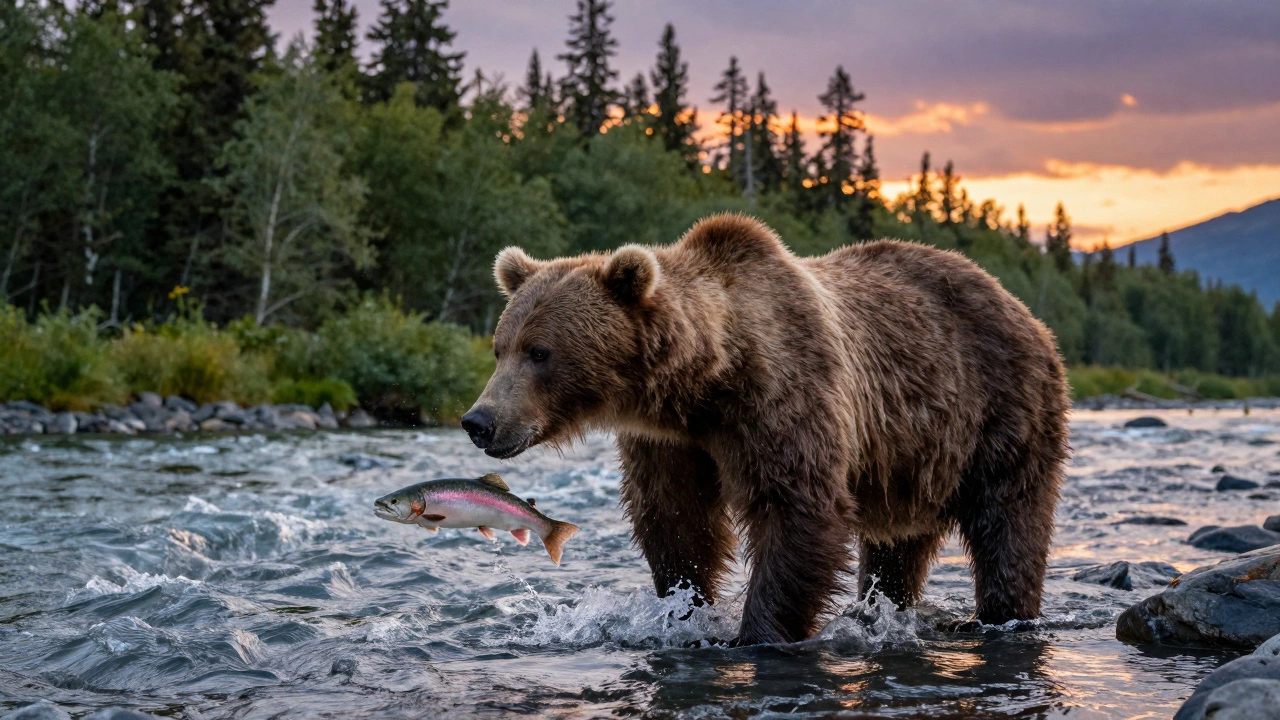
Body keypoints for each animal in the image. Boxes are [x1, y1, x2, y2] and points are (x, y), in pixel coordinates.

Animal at [461, 214, 1069, 645]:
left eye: (540, 351)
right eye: (500, 347)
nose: (478, 421)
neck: (702, 386)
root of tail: (1022, 308)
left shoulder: (780, 399)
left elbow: (796, 510)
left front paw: (755, 634)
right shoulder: (669, 443)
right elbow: (676, 521)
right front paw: (683, 611)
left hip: (1002, 408)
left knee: (1009, 518)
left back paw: (999, 616)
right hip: (913, 457)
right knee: (898, 545)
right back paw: (879, 610)